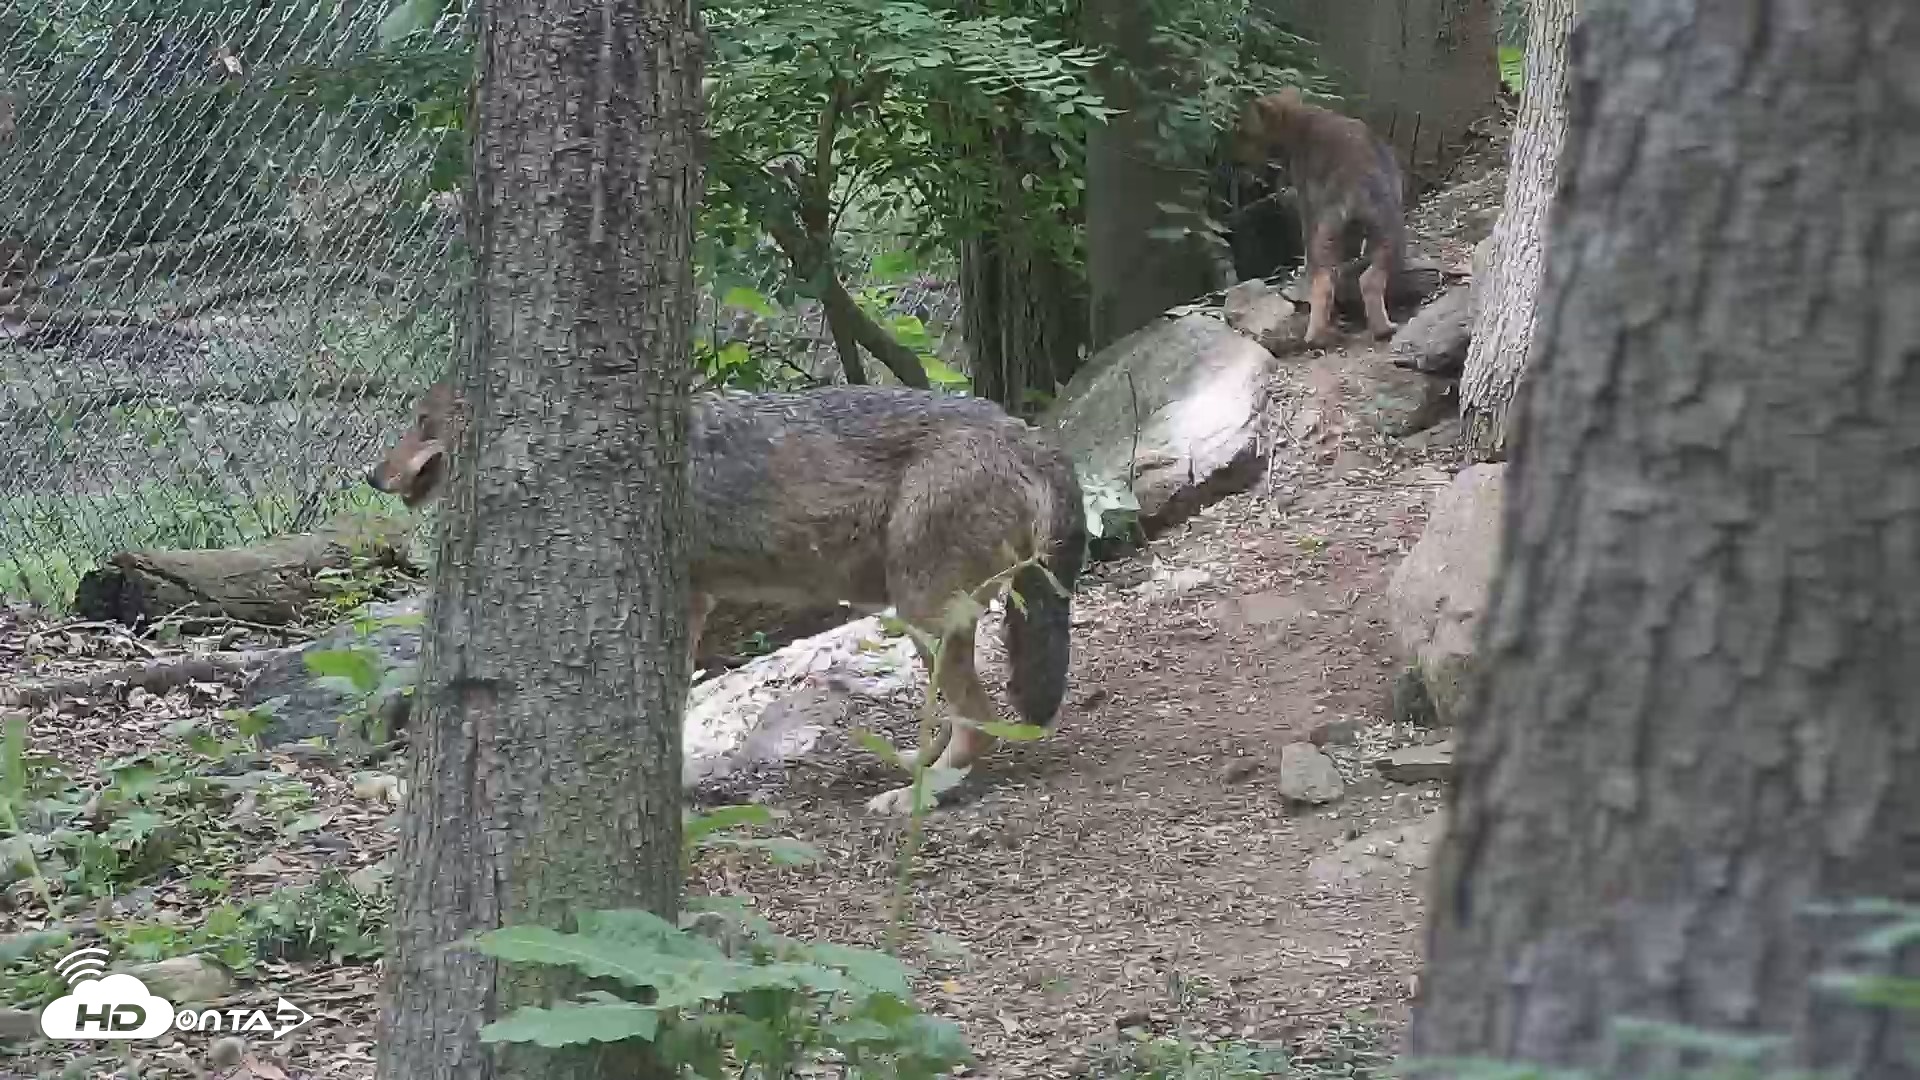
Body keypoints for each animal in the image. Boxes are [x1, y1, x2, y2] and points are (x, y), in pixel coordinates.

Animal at [366, 381, 1088, 815]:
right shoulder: (692, 604)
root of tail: (1029, 433)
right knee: (967, 712)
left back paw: (924, 795)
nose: (371, 477)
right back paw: (916, 766)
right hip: (922, 617)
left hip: (920, 613)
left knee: (983, 717)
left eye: (421, 423)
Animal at [1230, 86, 1409, 348]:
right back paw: (1383, 329)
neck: (1299, 120)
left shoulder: (1306, 204)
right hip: (1390, 230)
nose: (1233, 159)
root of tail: (1357, 185)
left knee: (1323, 282)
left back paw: (1316, 336)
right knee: (1369, 279)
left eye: (1244, 133)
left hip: (1328, 231)